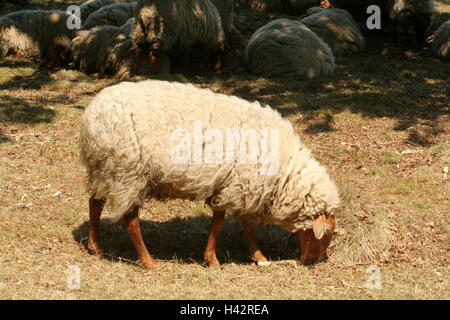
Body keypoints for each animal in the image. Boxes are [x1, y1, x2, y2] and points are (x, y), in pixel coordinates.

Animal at [81, 79, 342, 268]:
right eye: (326, 234)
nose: (313, 262)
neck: (285, 173)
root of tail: (91, 117)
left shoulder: (241, 187)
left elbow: (244, 223)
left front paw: (258, 255)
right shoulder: (236, 186)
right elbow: (219, 222)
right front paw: (213, 259)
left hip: (105, 170)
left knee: (94, 203)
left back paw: (96, 247)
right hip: (129, 173)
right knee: (130, 219)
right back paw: (148, 261)